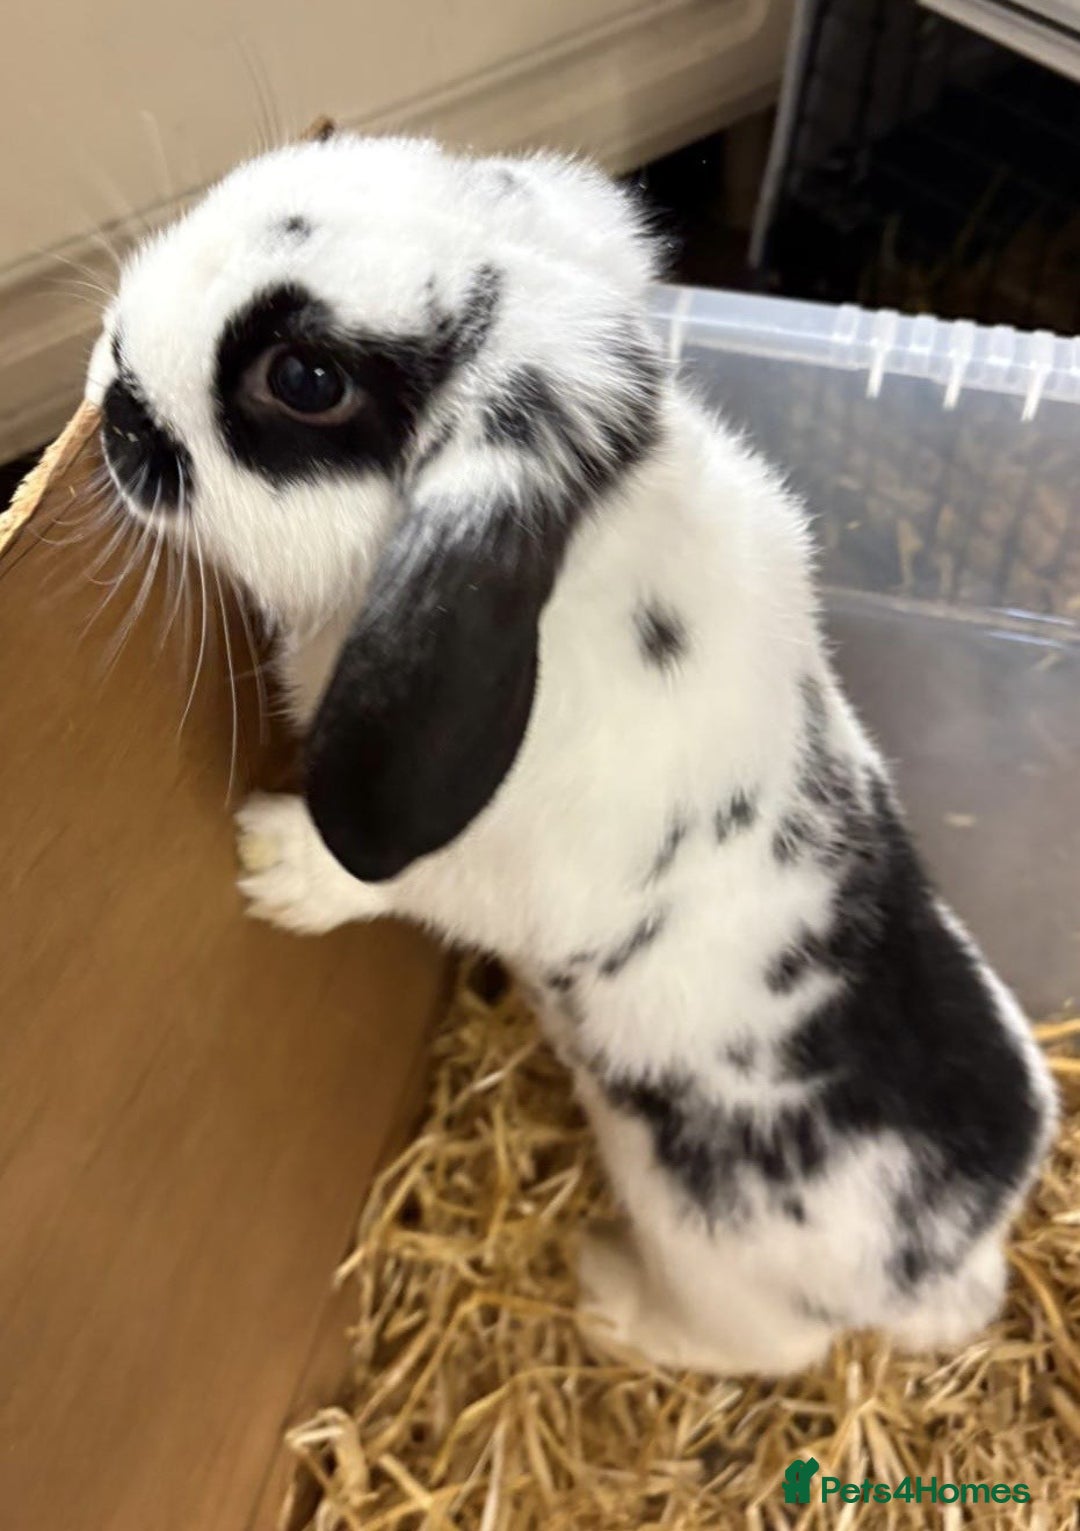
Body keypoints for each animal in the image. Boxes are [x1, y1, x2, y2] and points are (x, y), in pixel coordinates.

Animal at [87, 131, 1057, 1376]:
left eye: (304, 379)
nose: (111, 382)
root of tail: (953, 1256)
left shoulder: (505, 868)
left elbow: (382, 870)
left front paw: (273, 859)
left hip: (716, 1262)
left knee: (757, 1349)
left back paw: (607, 1294)